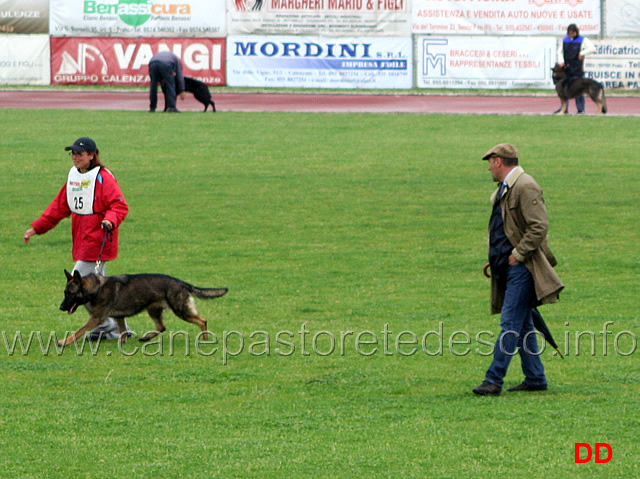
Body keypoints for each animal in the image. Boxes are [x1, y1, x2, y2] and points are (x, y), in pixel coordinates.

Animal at [58, 272, 228, 346]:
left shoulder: (96, 318)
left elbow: (79, 331)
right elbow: (123, 331)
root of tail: (181, 283)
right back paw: (146, 338)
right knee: (162, 326)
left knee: (202, 321)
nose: (61, 307)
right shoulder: (119, 317)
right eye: (65, 292)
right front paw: (123, 341)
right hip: (153, 310)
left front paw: (64, 342)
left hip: (180, 310)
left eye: (69, 294)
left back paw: (205, 339)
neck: (97, 288)